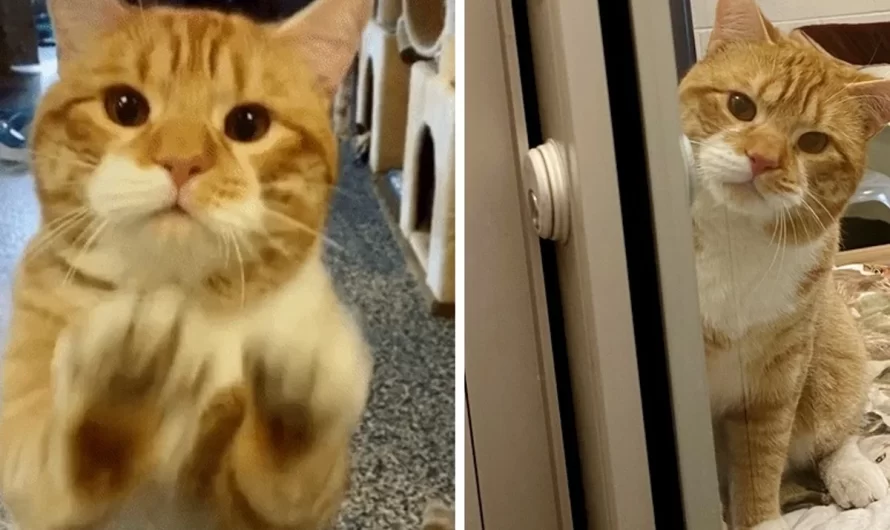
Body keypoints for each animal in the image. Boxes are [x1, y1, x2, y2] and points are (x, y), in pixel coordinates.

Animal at [0, 1, 372, 528]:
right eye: (125, 107)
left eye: (249, 123)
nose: (182, 161)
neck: (184, 301)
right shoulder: (27, 471)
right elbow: (74, 457)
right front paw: (121, 377)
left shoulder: (289, 510)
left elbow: (286, 478)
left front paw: (297, 396)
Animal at [676, 1, 888, 528]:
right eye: (740, 106)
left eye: (813, 142)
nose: (762, 157)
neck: (734, 237)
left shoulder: (777, 378)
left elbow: (762, 461)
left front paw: (761, 519)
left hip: (832, 345)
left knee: (837, 433)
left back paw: (856, 473)